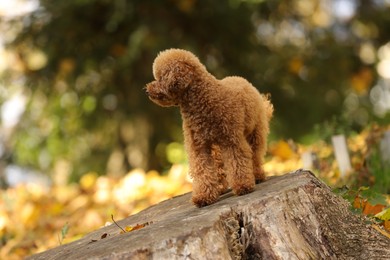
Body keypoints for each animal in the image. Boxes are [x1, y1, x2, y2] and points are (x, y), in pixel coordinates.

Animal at [146, 48, 274, 207]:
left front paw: (243, 186)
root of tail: (242, 80)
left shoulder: (231, 140)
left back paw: (257, 176)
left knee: (255, 155)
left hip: (255, 132)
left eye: (160, 78)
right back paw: (220, 188)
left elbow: (237, 162)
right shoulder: (198, 147)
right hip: (218, 147)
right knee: (220, 166)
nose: (147, 90)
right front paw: (204, 196)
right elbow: (203, 170)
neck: (203, 99)